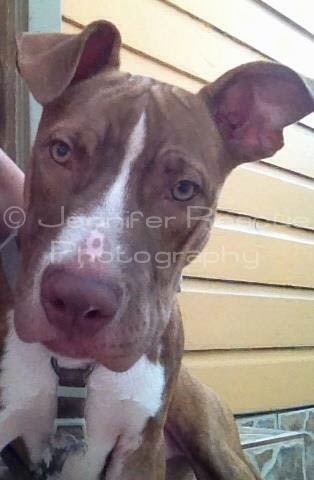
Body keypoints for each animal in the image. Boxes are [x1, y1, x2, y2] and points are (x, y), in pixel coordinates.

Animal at [0, 18, 314, 480]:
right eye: (61, 151)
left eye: (183, 189)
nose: (77, 299)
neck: (77, 373)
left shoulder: (140, 449)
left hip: (215, 443)